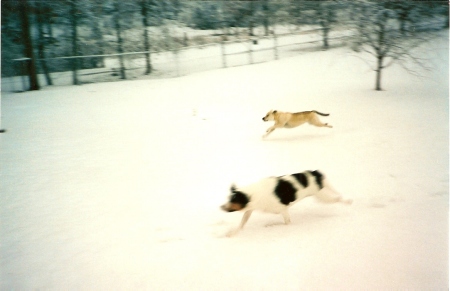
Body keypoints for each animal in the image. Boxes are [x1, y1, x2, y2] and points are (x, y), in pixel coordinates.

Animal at [221, 171, 352, 237]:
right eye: (229, 199)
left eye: (232, 201)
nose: (221, 207)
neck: (252, 195)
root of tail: (315, 173)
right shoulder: (249, 210)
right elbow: (241, 224)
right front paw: (232, 233)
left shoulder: (283, 210)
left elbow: (286, 223)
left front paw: (272, 225)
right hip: (321, 195)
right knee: (337, 196)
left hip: (322, 197)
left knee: (338, 198)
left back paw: (348, 202)